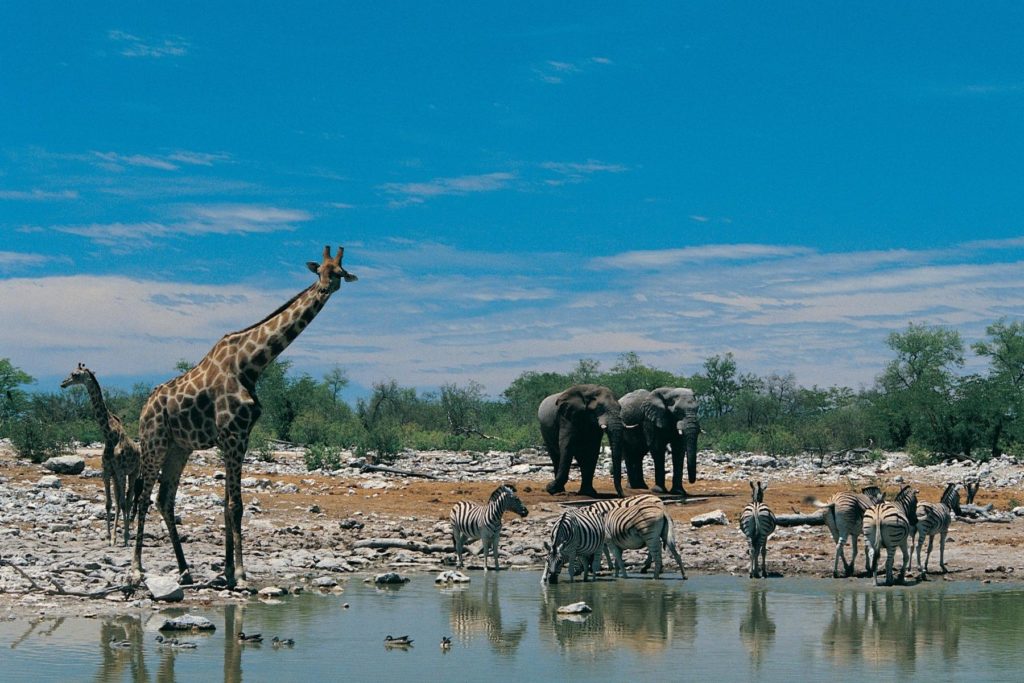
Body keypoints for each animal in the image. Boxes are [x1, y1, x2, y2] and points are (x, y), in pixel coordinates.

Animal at [60, 366, 143, 548]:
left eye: (75, 375)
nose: (63, 383)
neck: (109, 435)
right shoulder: (107, 472)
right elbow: (108, 504)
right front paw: (109, 536)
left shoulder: (120, 471)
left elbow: (123, 503)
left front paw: (123, 537)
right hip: (116, 476)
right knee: (120, 500)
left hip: (133, 473)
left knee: (128, 499)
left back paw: (126, 535)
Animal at [132, 245, 358, 589]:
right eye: (320, 271)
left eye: (338, 273)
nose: (323, 289)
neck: (251, 364)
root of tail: (144, 408)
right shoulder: (232, 435)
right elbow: (235, 505)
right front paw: (238, 573)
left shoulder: (240, 437)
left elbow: (228, 505)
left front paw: (227, 570)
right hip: (153, 442)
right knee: (143, 497)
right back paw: (137, 568)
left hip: (178, 448)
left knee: (164, 499)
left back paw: (185, 570)